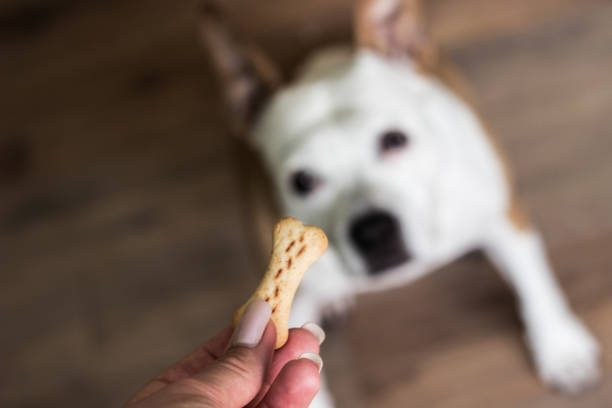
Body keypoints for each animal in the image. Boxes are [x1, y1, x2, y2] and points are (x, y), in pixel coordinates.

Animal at [200, 0, 596, 404]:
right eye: (303, 181)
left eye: (395, 140)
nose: (373, 231)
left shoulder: (504, 218)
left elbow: (534, 282)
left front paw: (560, 348)